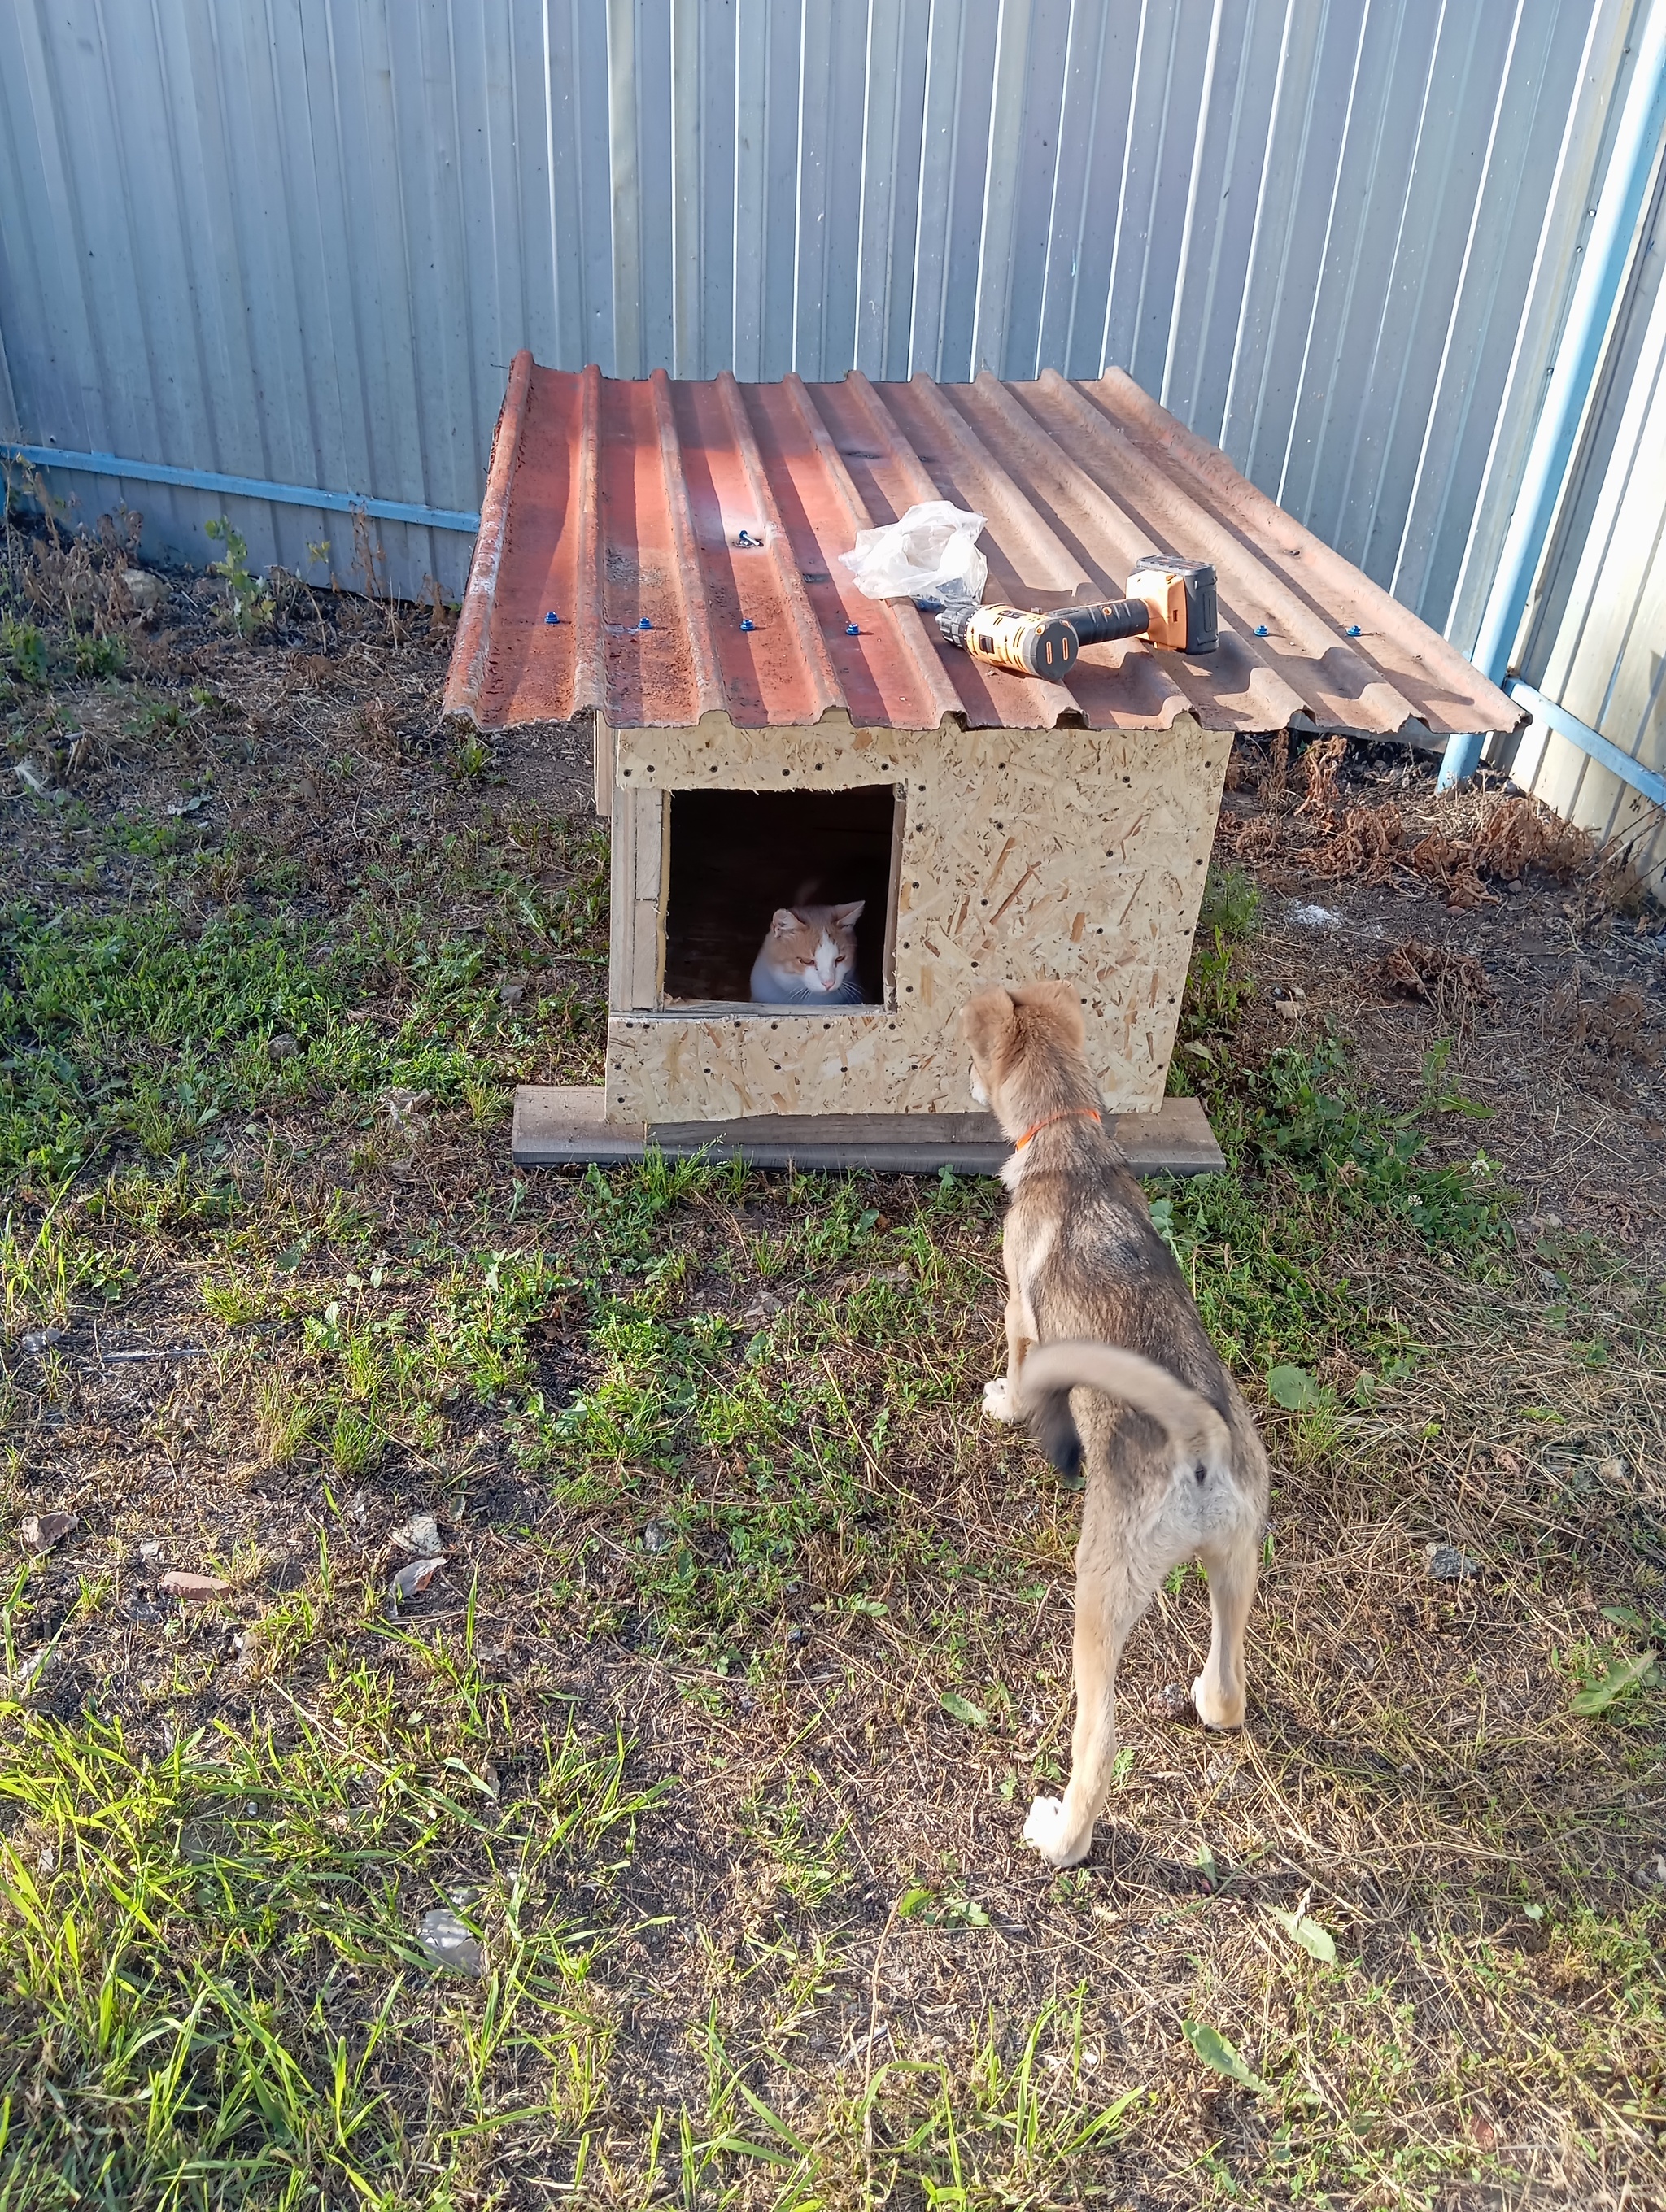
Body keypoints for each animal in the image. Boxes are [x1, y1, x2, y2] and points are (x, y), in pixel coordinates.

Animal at [955, 986, 1265, 1866]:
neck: (1074, 1144)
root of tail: (1197, 1446)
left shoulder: (1018, 1316)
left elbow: (1017, 1373)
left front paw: (1001, 1404)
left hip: (1098, 1602)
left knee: (1097, 1744)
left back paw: (1058, 1834)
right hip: (1237, 1564)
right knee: (1228, 1689)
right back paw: (1206, 1699)